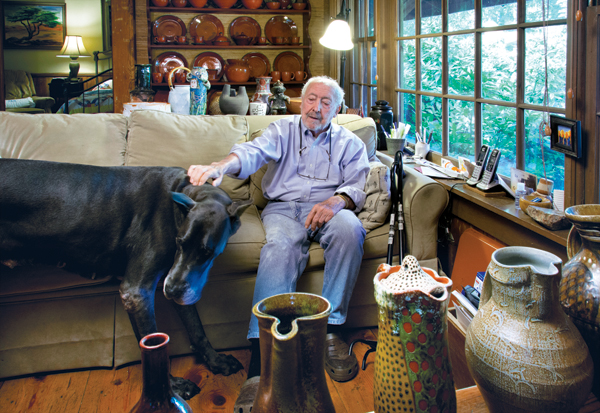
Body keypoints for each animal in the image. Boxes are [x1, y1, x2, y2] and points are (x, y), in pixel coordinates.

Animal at [0, 157, 251, 396]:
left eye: (207, 252)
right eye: (180, 242)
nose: (171, 291)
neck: (179, 202)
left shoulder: (176, 279)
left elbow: (195, 326)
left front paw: (216, 361)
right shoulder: (136, 292)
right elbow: (152, 342)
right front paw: (171, 387)